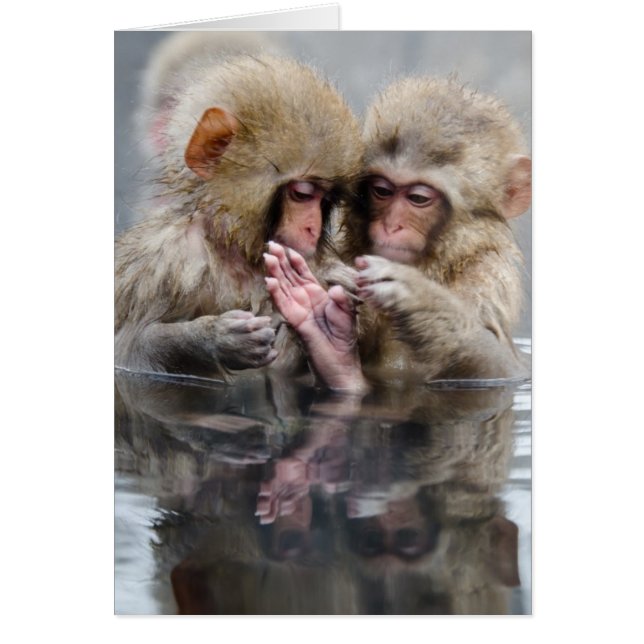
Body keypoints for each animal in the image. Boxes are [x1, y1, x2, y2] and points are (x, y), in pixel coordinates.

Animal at [115, 52, 363, 379]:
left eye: (326, 199)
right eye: (303, 193)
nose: (312, 227)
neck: (234, 250)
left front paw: (326, 328)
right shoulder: (167, 263)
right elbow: (129, 354)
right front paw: (210, 339)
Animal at [265, 76, 531, 388]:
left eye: (418, 198)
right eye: (382, 190)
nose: (391, 225)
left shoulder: (490, 277)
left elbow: (505, 373)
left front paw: (423, 301)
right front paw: (321, 327)